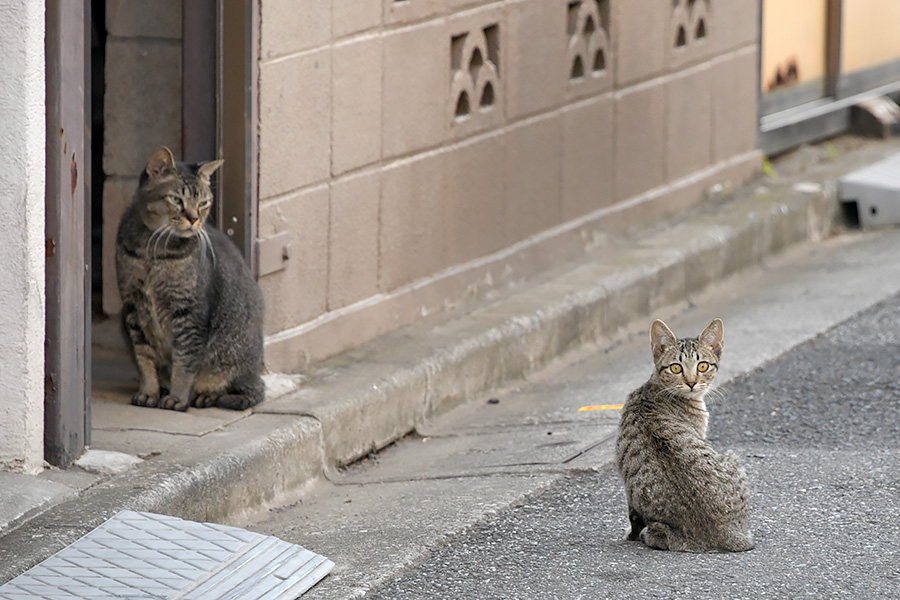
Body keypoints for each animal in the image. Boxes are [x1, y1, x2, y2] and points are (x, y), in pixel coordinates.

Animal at [116, 147, 264, 410]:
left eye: (204, 203)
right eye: (176, 200)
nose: (194, 218)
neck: (152, 252)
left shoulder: (188, 311)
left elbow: (184, 362)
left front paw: (178, 397)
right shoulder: (132, 307)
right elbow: (144, 358)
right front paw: (149, 391)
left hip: (235, 354)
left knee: (250, 390)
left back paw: (205, 395)